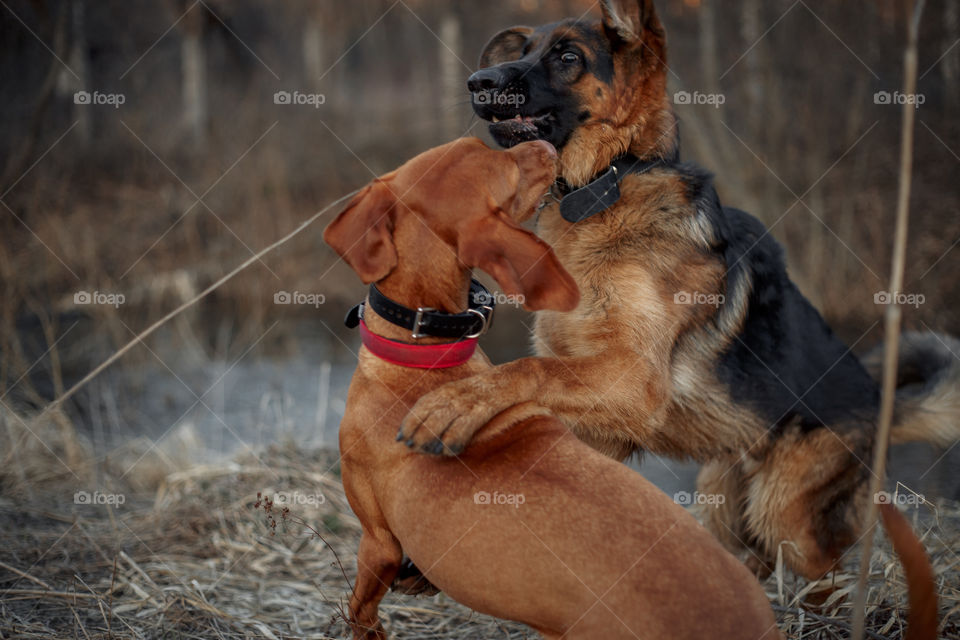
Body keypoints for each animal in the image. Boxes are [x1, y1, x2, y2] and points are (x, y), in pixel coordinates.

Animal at [398, 0, 960, 584]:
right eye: (525, 50)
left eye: (568, 57)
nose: (477, 81)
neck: (610, 184)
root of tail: (881, 403)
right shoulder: (599, 409)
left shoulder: (632, 380)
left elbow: (527, 370)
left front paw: (458, 403)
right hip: (722, 495)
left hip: (787, 513)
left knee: (824, 569)